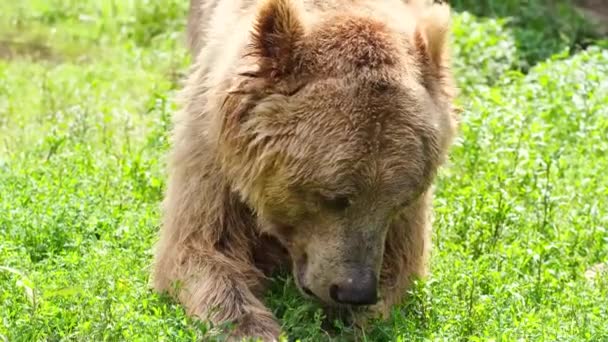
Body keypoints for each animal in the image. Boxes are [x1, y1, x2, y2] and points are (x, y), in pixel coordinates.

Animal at [152, 0, 456, 338]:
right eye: (333, 197)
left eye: (398, 202)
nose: (355, 291)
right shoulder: (213, 155)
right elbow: (200, 247)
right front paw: (253, 328)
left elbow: (403, 266)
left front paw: (351, 323)